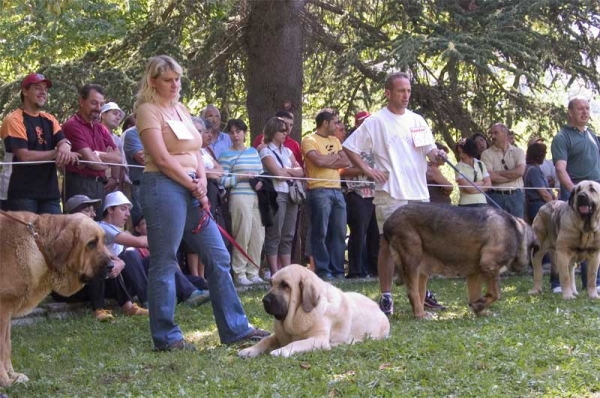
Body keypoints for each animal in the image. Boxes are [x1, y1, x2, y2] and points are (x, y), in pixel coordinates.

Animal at [0, 211, 111, 386]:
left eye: (103, 241)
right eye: (91, 243)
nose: (112, 266)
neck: (38, 245)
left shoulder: (7, 313)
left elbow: (6, 347)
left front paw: (13, 376)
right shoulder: (3, 309)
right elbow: (2, 348)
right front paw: (5, 380)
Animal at [238, 264, 390, 358]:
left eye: (285, 285)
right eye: (271, 283)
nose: (265, 300)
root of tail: (379, 308)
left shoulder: (319, 339)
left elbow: (296, 343)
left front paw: (281, 350)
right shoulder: (278, 335)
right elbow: (265, 340)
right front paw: (249, 350)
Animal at [384, 204, 540, 318]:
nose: (525, 265)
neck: (517, 230)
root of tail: (388, 221)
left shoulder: (475, 273)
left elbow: (476, 294)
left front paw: (479, 309)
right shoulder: (489, 265)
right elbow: (496, 294)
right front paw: (480, 305)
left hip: (421, 270)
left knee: (419, 293)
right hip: (412, 260)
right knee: (412, 292)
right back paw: (421, 315)